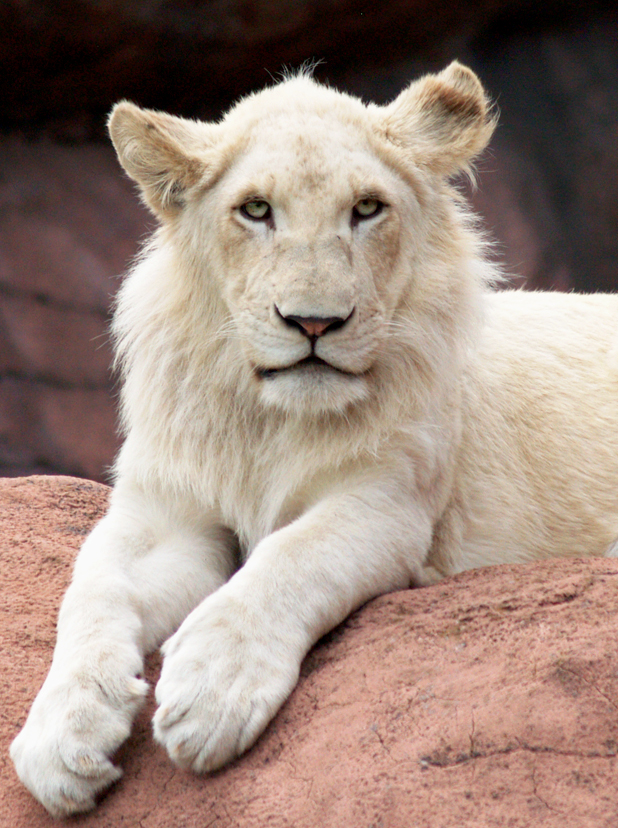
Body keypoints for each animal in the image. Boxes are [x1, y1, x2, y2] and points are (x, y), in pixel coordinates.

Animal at [10, 63, 618, 816]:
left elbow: (290, 560)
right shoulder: (167, 511)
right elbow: (92, 587)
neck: (271, 421)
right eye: (255, 210)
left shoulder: (387, 503)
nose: (313, 323)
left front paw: (211, 688)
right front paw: (60, 735)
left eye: (366, 209)